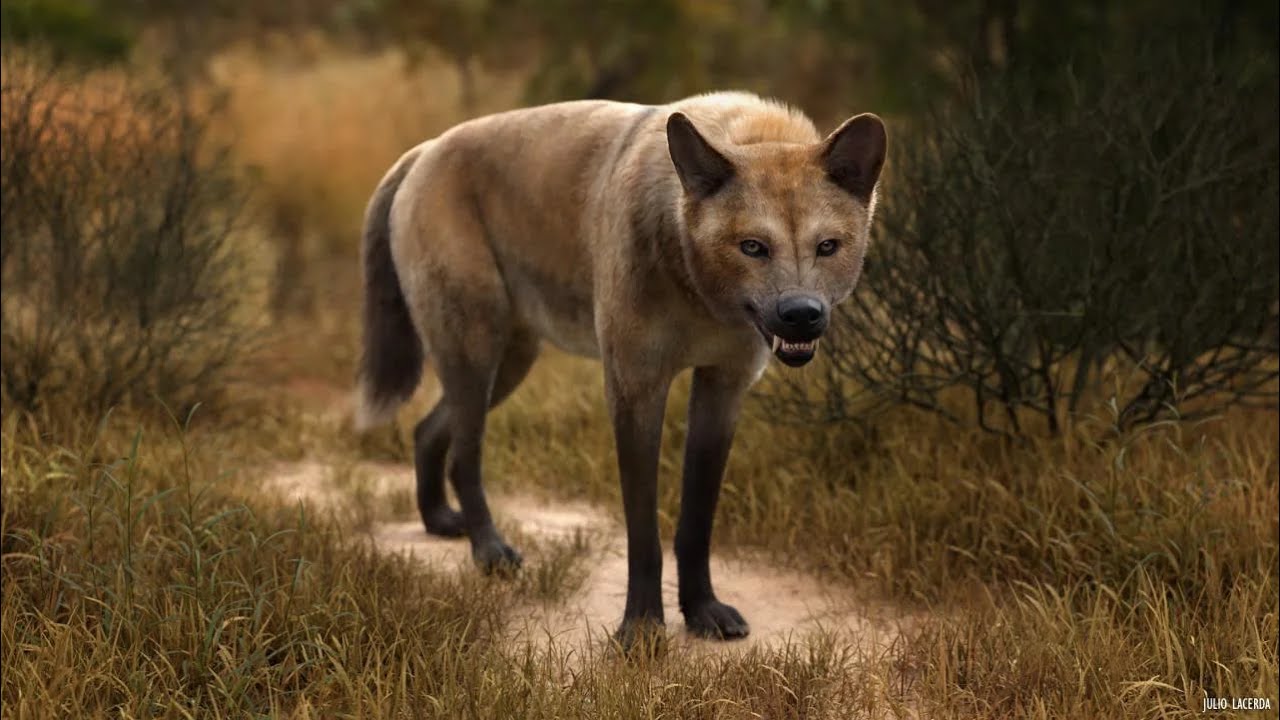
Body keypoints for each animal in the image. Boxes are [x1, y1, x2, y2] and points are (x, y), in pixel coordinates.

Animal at [355, 91, 886, 646]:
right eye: (753, 247)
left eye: (827, 246)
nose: (801, 313)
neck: (698, 291)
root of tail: (425, 150)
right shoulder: (635, 388)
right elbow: (644, 533)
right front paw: (643, 629)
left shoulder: (723, 387)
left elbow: (696, 522)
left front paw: (703, 612)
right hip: (475, 354)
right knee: (463, 455)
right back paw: (490, 552)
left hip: (508, 363)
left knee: (426, 429)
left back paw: (440, 520)